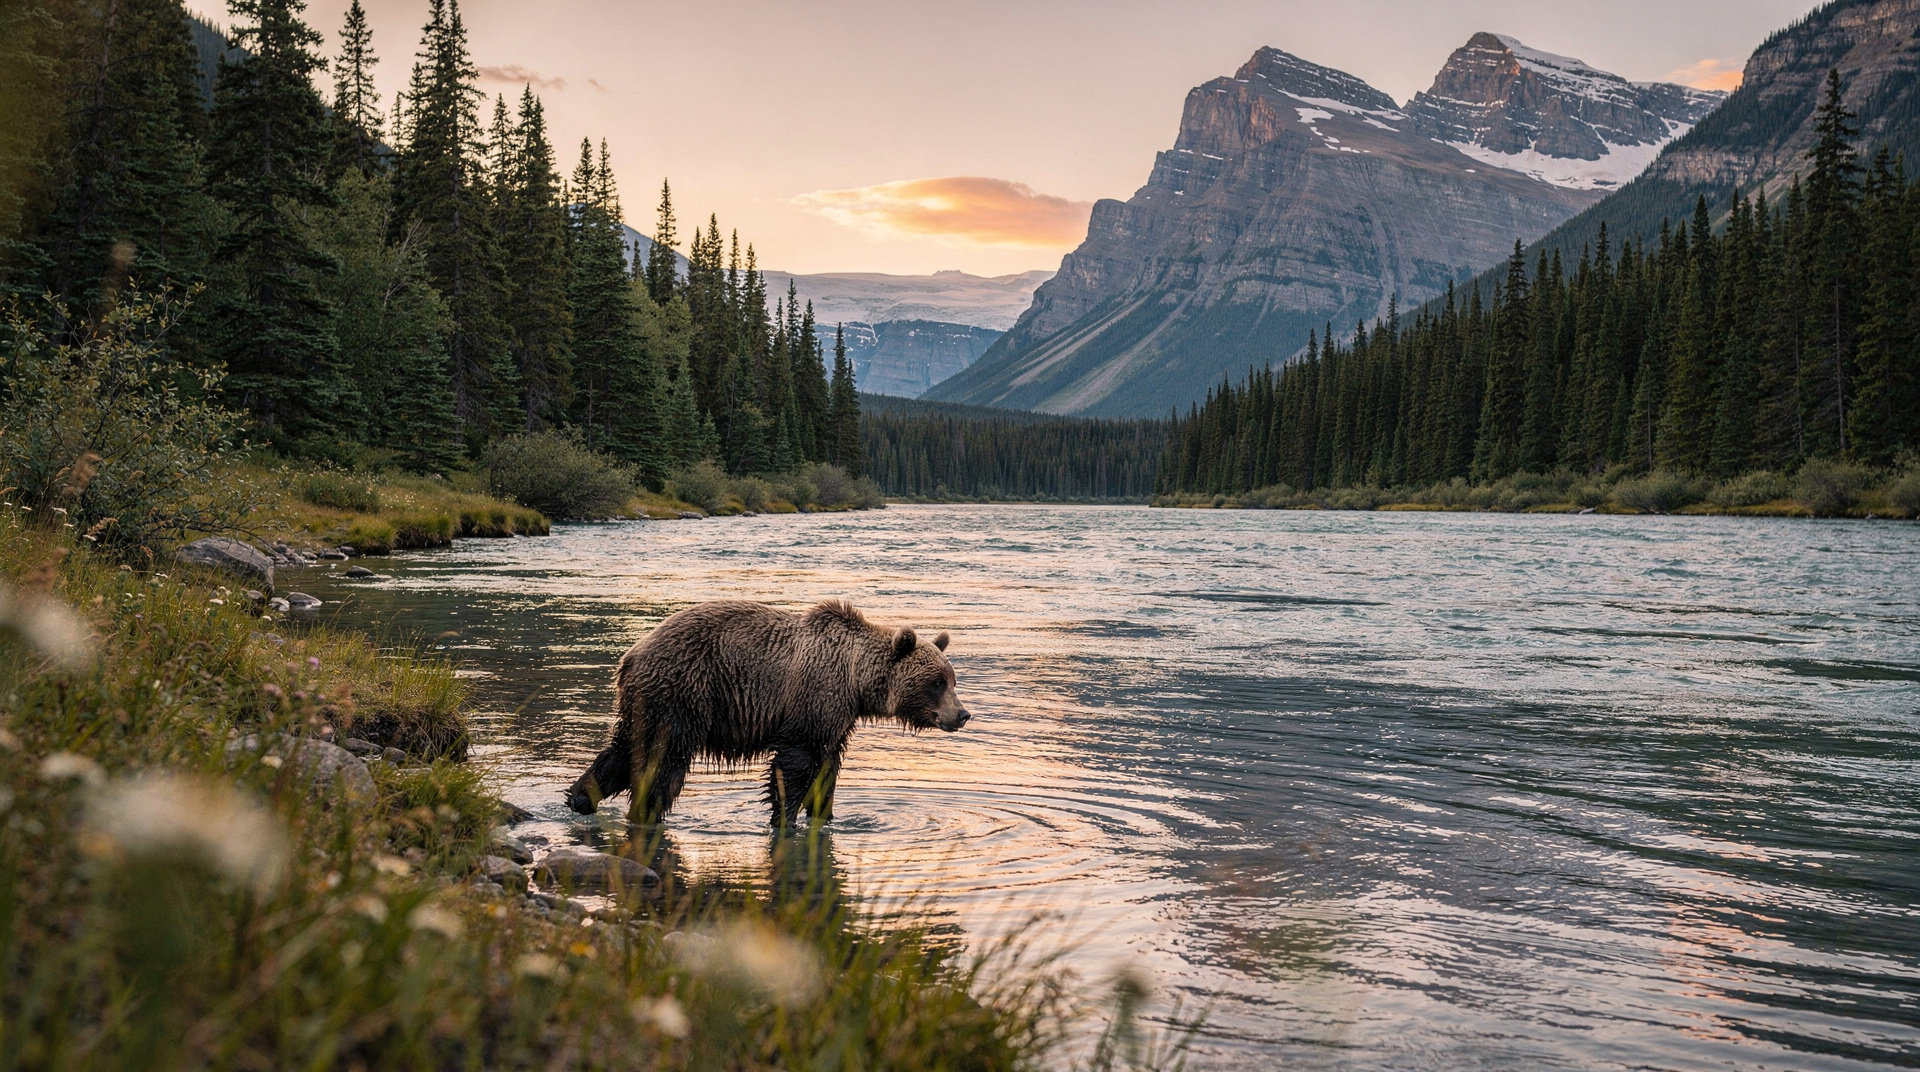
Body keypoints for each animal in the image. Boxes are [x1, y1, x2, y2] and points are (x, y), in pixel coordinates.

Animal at [565, 600, 970, 826]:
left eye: (952, 679)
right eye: (936, 682)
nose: (962, 714)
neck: (856, 681)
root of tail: (631, 655)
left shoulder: (836, 719)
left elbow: (828, 769)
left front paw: (825, 814)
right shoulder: (811, 701)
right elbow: (794, 766)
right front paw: (784, 817)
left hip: (645, 705)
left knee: (622, 750)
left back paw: (581, 797)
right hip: (682, 693)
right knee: (663, 762)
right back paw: (645, 813)